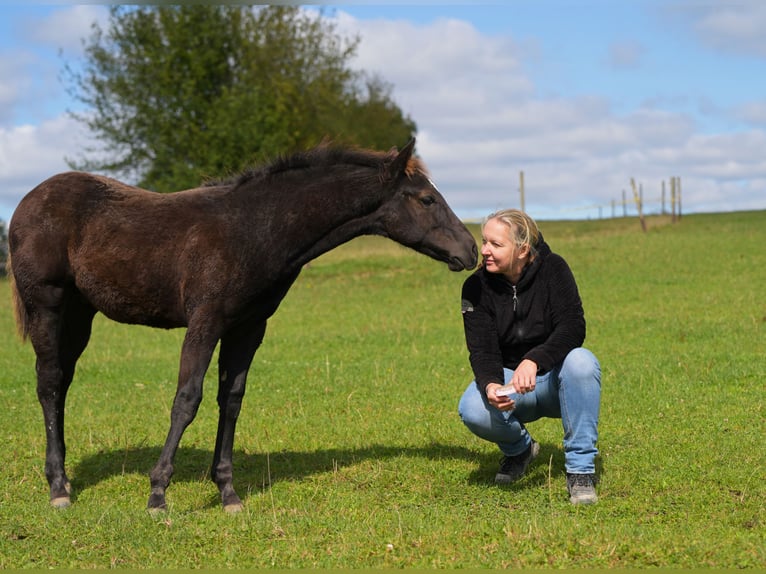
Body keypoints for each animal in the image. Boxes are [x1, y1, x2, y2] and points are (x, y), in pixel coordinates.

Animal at [9, 138, 476, 512]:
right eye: (426, 199)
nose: (470, 250)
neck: (255, 228)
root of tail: (28, 200)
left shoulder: (248, 327)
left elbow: (231, 399)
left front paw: (228, 492)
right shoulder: (205, 321)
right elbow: (187, 399)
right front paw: (158, 493)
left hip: (80, 315)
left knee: (62, 383)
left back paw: (64, 479)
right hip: (48, 304)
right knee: (49, 384)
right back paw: (58, 488)